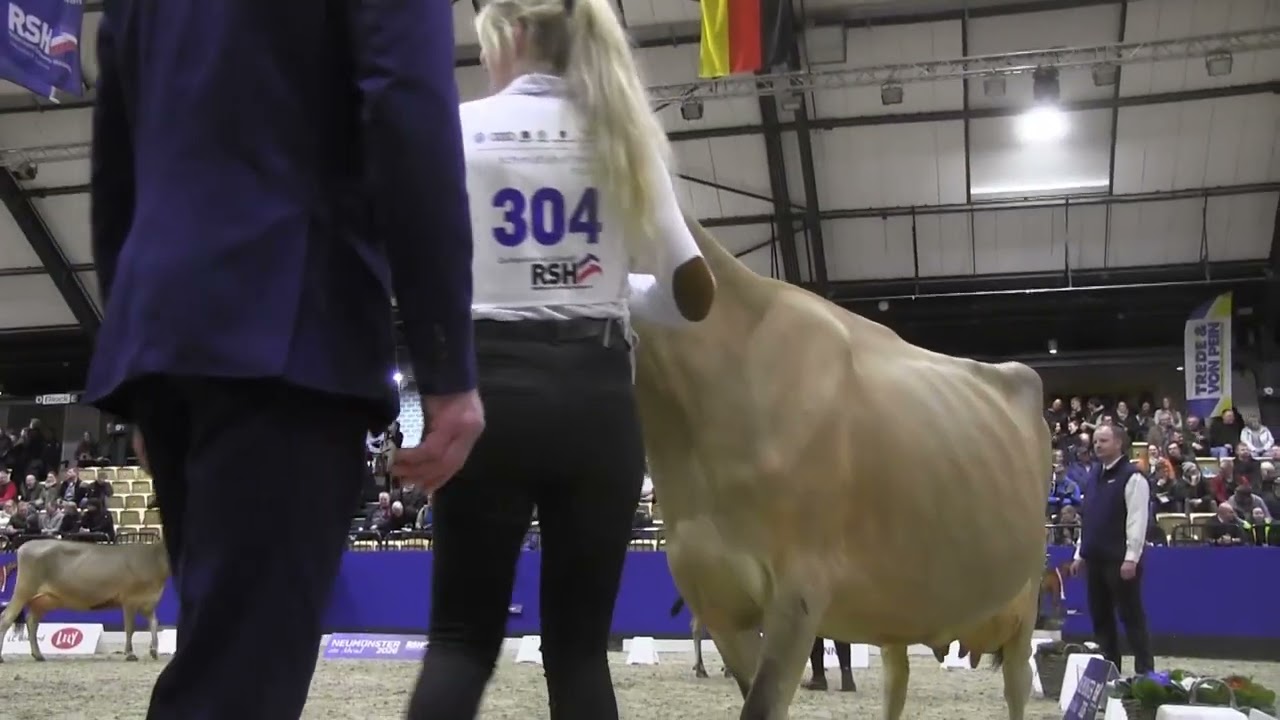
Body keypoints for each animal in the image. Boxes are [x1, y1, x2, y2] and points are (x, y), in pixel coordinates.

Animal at [0, 538, 170, 662]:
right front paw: (130, 654)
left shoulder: (149, 602)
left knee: (32, 621)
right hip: (24, 589)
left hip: (44, 599)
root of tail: (25, 545)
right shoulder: (129, 600)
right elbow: (130, 628)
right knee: (6, 618)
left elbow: (154, 623)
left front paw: (154, 651)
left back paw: (39, 655)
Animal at [632, 216, 1050, 720]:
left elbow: (763, 703)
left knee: (1017, 682)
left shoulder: (798, 591)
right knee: (897, 678)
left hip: (1026, 601)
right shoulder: (714, 596)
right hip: (899, 603)